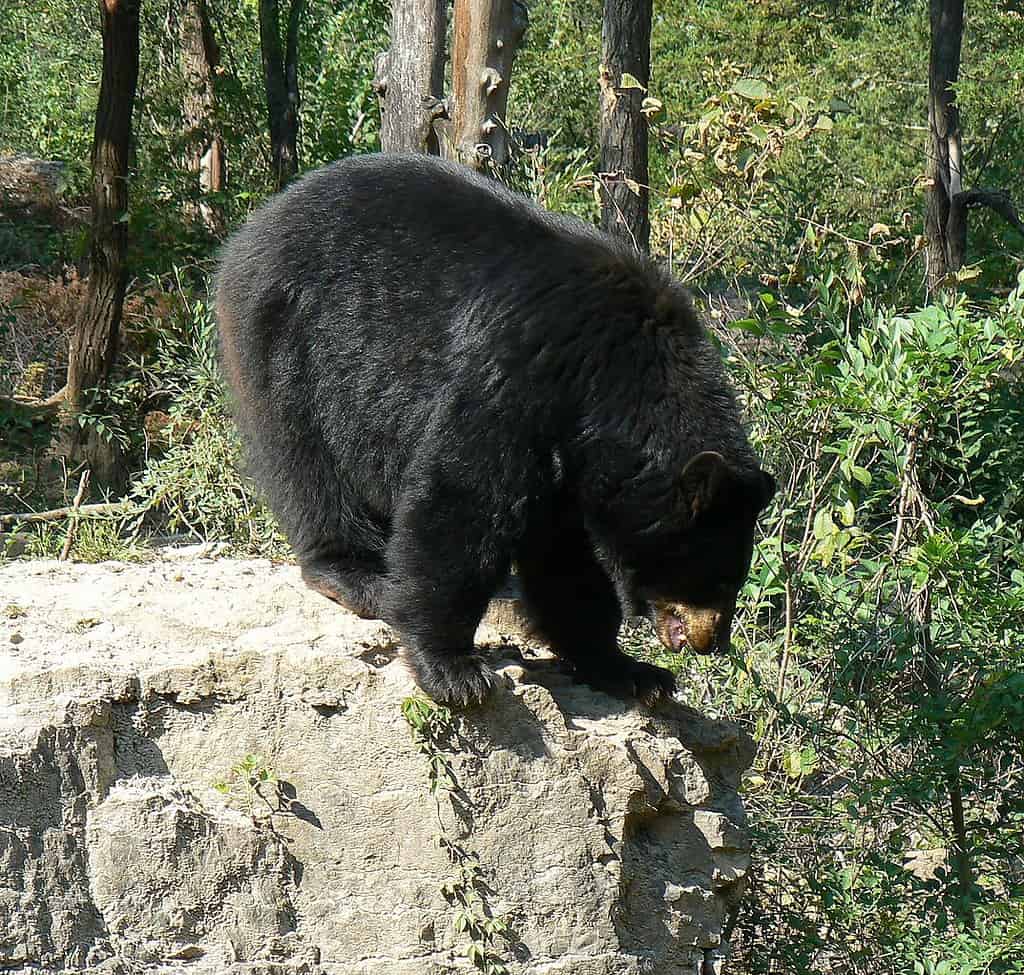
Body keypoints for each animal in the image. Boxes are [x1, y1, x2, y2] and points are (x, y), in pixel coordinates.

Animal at [216, 153, 774, 707]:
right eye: (719, 578)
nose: (711, 642)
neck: (622, 378)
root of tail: (254, 226)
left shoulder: (575, 454)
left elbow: (565, 555)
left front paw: (628, 670)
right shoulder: (519, 376)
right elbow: (464, 501)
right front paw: (453, 669)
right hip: (290, 333)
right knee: (305, 460)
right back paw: (356, 573)